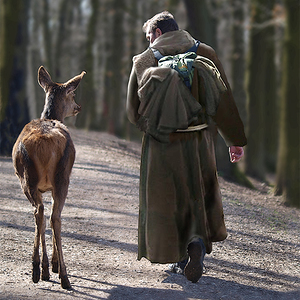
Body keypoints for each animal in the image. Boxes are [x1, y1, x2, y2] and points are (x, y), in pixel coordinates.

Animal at [12, 65, 85, 288]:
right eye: (72, 94)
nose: (78, 106)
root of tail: (44, 144)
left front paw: (47, 266)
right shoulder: (55, 184)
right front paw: (53, 265)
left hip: (27, 178)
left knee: (39, 212)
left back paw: (38, 268)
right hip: (62, 177)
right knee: (53, 217)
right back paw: (63, 275)